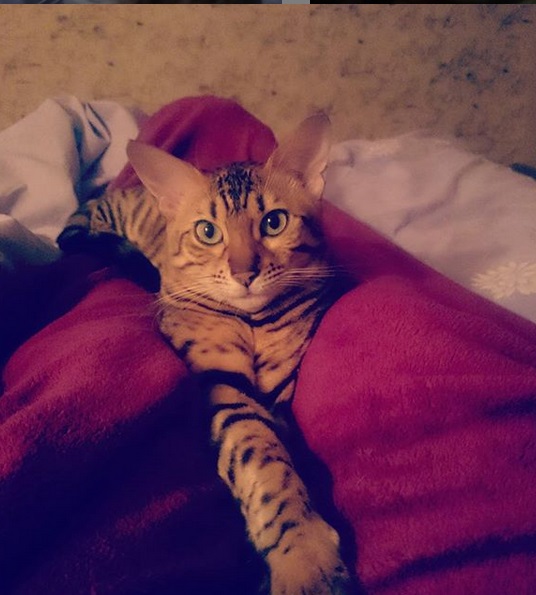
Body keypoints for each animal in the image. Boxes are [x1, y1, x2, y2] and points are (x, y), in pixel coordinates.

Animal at [58, 114, 352, 592]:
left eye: (274, 222)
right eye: (207, 232)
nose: (244, 273)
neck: (254, 323)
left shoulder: (282, 386)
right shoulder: (221, 385)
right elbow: (263, 460)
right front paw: (304, 557)